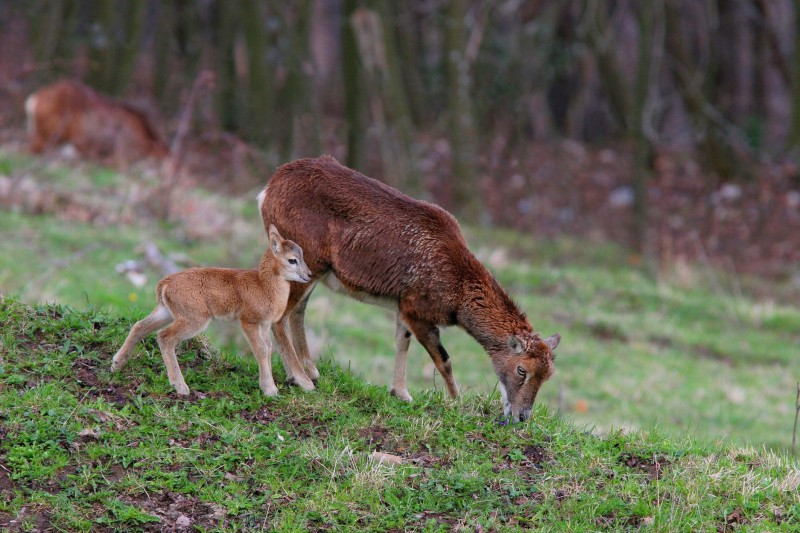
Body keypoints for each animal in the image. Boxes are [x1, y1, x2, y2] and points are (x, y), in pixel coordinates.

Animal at [111, 224, 310, 394]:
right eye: (292, 260)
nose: (308, 275)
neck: (265, 287)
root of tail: (165, 284)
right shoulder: (249, 322)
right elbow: (261, 350)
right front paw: (270, 390)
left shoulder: (265, 325)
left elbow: (268, 348)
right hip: (194, 319)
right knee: (164, 336)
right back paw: (180, 386)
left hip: (167, 312)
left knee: (140, 326)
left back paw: (116, 364)